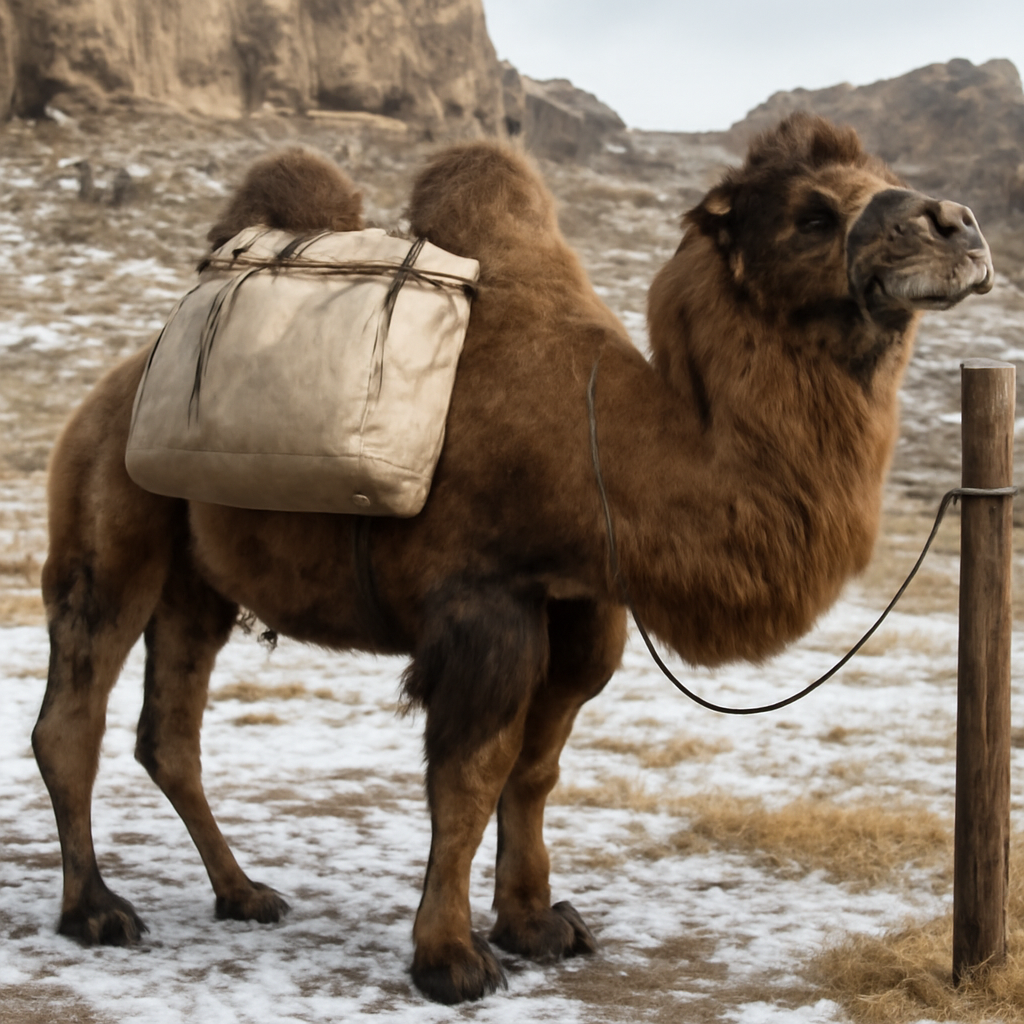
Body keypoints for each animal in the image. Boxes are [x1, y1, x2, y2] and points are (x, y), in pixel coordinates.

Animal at [32, 116, 993, 1004]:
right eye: (811, 213)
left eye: (883, 175)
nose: (956, 223)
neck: (611, 440)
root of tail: (112, 385)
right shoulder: (484, 599)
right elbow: (471, 773)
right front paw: (452, 958)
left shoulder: (581, 605)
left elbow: (536, 767)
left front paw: (537, 925)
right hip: (108, 517)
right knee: (72, 711)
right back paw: (96, 911)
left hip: (197, 581)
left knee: (170, 735)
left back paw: (243, 894)